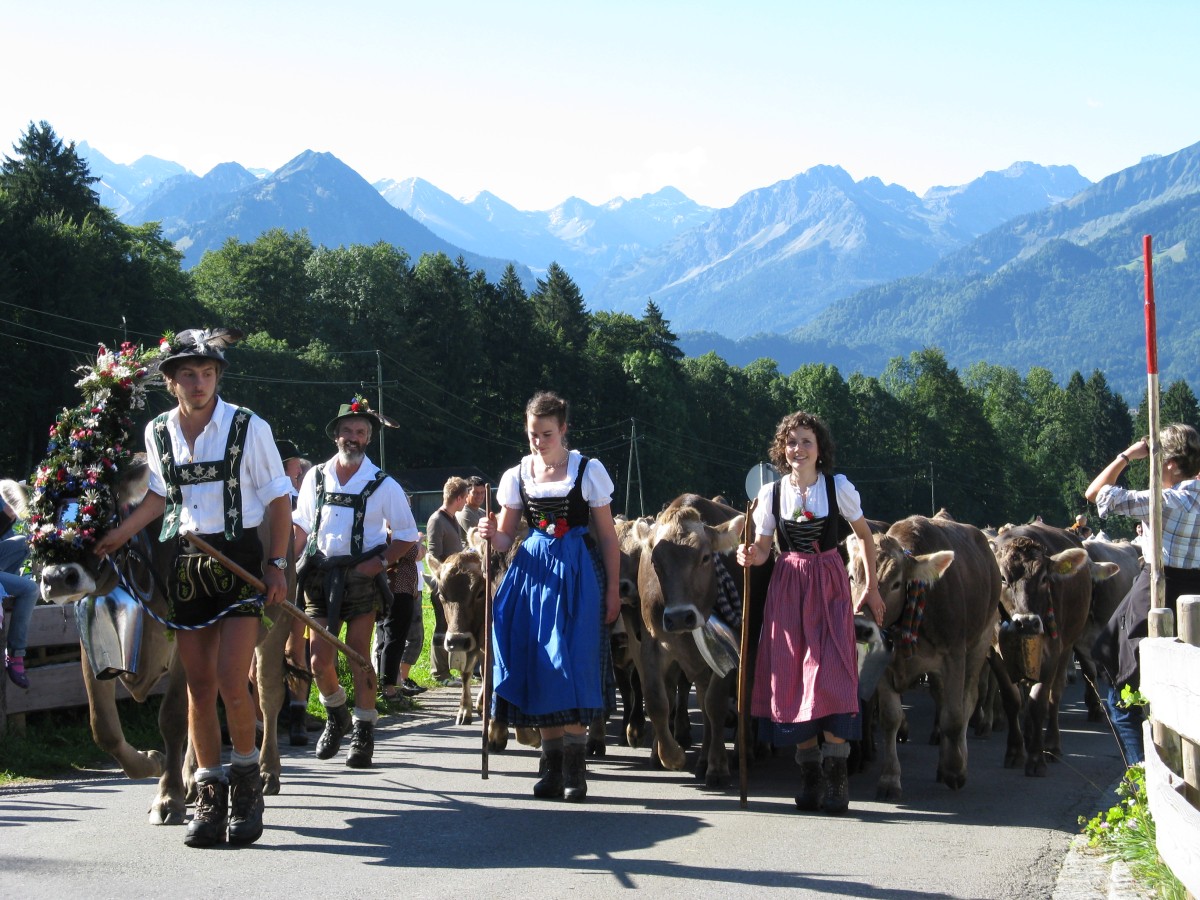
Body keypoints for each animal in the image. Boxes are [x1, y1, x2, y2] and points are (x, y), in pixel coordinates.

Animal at [633, 496, 744, 787]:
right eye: (655, 561)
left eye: (705, 557)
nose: (680, 616)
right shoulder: (651, 641)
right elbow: (657, 699)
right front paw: (671, 756)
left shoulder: (731, 651)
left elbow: (716, 705)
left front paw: (718, 766)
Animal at [849, 518, 1008, 801]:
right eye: (852, 577)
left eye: (896, 583)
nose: (860, 627)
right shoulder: (886, 666)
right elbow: (891, 718)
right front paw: (890, 778)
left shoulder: (954, 656)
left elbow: (954, 716)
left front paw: (955, 770)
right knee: (941, 699)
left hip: (980, 641)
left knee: (967, 701)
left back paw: (956, 760)